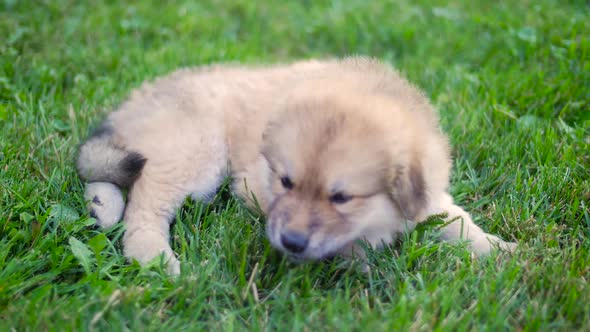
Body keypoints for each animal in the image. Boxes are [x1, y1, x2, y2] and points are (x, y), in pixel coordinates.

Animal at [77, 57, 512, 274]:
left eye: (341, 197)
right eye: (286, 182)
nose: (292, 243)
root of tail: (133, 105)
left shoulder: (431, 196)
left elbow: (458, 220)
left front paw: (499, 250)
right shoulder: (251, 185)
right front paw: (361, 257)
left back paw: (101, 208)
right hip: (193, 152)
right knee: (144, 205)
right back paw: (154, 257)